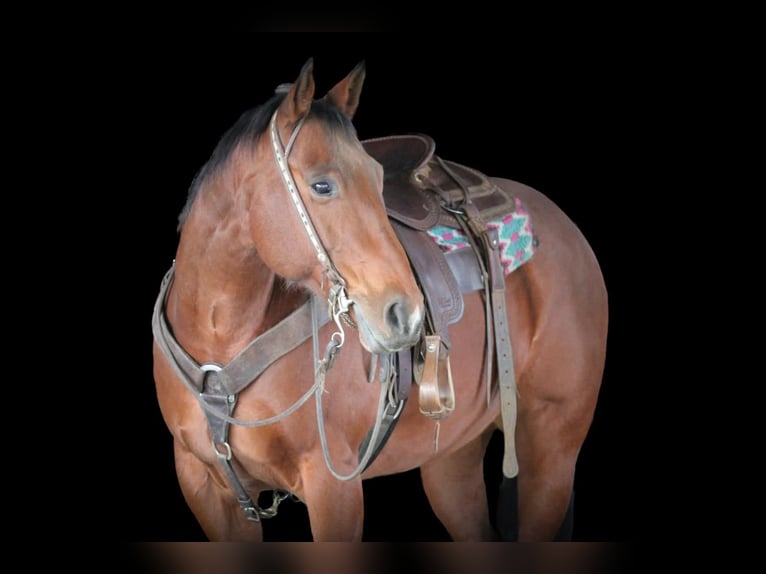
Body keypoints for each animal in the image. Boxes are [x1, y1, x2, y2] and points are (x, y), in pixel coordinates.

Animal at [151, 58, 608, 542]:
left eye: (377, 179)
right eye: (322, 186)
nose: (406, 314)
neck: (220, 337)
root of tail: (567, 232)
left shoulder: (333, 487)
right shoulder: (205, 488)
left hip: (551, 452)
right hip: (454, 458)